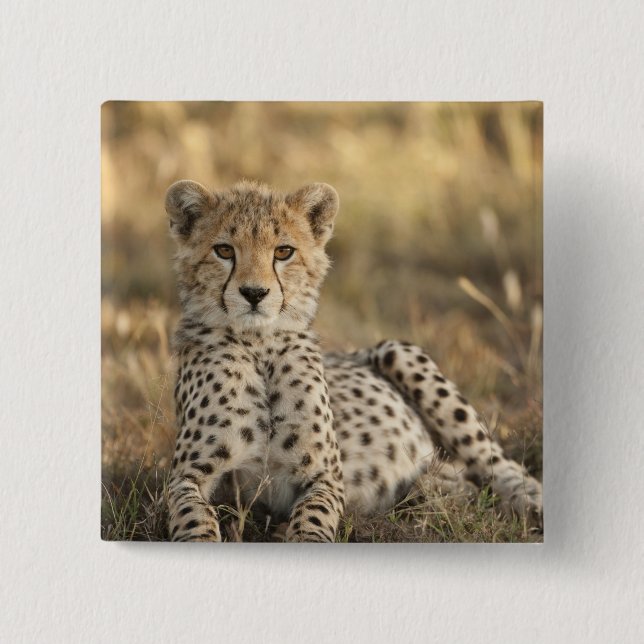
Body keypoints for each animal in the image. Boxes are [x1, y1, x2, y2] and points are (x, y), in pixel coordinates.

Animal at [164, 178, 543, 542]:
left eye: (283, 252)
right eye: (224, 250)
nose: (254, 293)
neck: (259, 346)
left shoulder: (326, 475)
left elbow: (313, 521)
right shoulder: (186, 475)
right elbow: (193, 519)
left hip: (399, 351)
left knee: (500, 466)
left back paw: (531, 504)